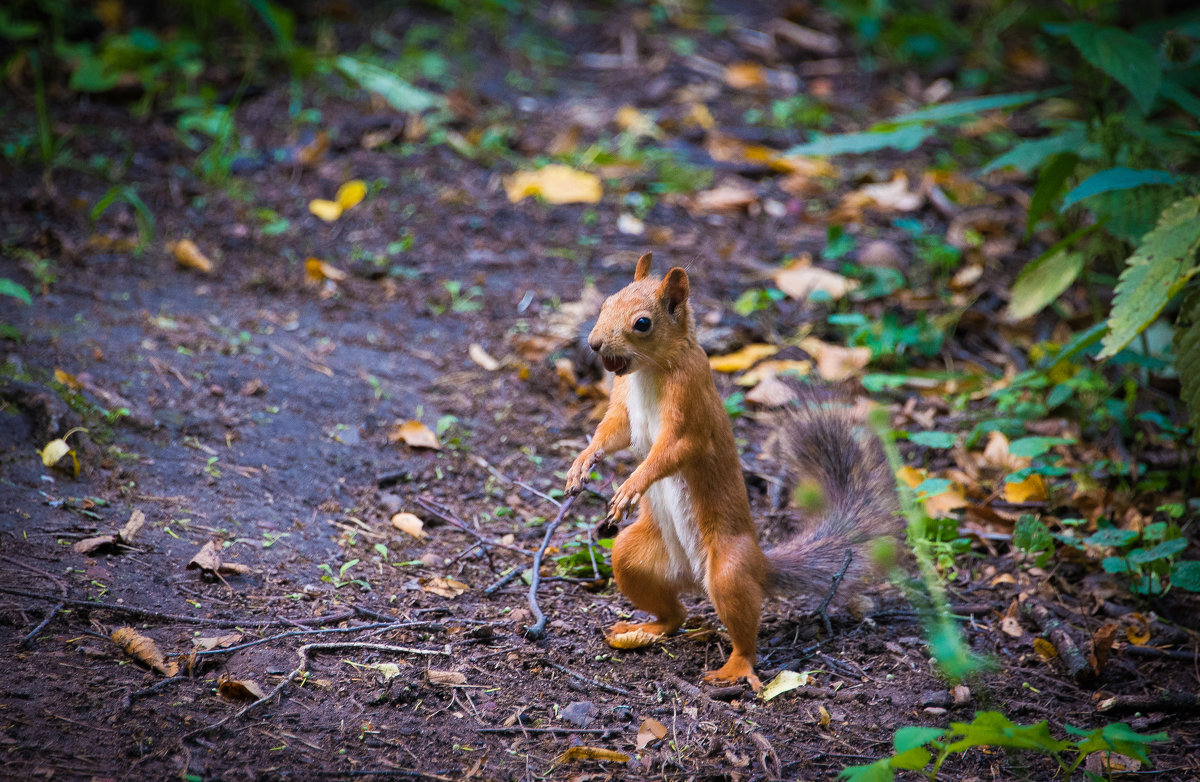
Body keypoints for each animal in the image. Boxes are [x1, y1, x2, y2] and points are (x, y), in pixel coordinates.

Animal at [564, 250, 902, 690]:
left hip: (728, 569)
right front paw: (582, 462)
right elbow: (611, 432)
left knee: (742, 633)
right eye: (605, 302)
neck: (649, 371)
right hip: (632, 557)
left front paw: (630, 485)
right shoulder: (623, 405)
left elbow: (673, 451)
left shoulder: (690, 405)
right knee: (674, 614)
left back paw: (734, 669)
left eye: (642, 323)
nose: (594, 343)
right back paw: (646, 628)